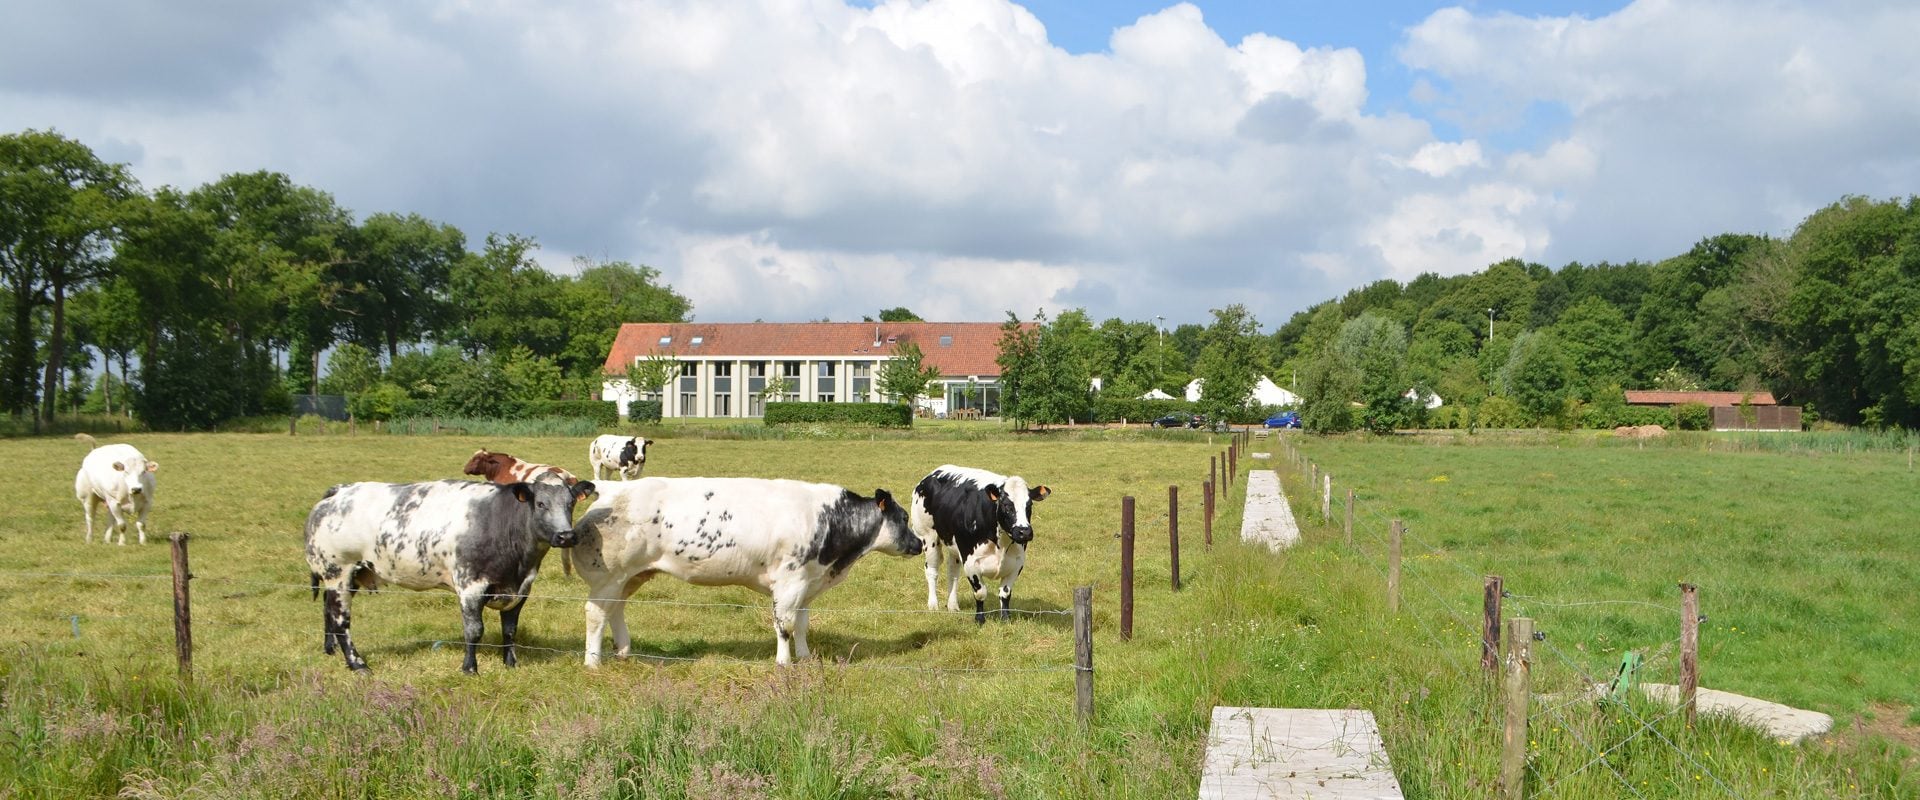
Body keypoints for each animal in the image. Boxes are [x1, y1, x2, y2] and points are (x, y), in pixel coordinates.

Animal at [301, 477, 591, 671]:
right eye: (541, 503)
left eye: (570, 503)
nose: (566, 536)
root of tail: (339, 491)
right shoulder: (470, 586)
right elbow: (474, 630)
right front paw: (469, 668)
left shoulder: (520, 589)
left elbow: (510, 630)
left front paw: (511, 664)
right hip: (339, 571)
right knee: (341, 620)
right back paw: (357, 663)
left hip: (344, 576)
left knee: (328, 610)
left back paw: (330, 650)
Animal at [568, 477, 921, 663]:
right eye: (904, 517)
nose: (919, 543)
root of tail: (611, 488)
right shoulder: (789, 582)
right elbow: (784, 626)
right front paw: (784, 662)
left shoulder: (807, 584)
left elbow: (802, 626)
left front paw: (805, 658)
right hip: (608, 577)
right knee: (595, 614)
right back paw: (593, 662)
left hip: (630, 576)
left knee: (615, 610)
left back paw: (624, 651)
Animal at [910, 460, 1052, 621]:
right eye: (1006, 505)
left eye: (1029, 505)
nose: (1024, 532)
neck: (1000, 544)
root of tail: (932, 474)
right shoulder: (970, 561)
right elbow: (980, 592)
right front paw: (979, 619)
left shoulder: (1018, 562)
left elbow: (1005, 593)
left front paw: (1005, 618)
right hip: (928, 537)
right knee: (932, 570)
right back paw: (933, 605)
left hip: (954, 545)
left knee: (953, 573)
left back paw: (953, 606)